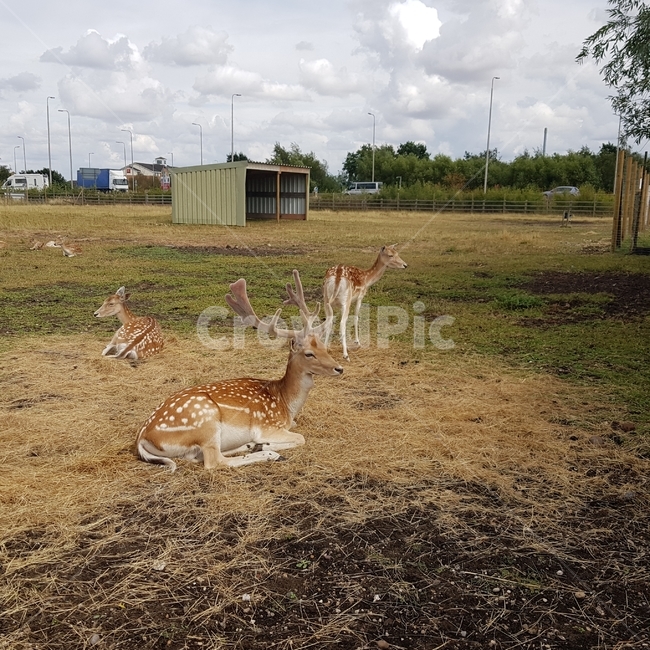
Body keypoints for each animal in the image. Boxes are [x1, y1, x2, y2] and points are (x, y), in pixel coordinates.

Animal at [136, 270, 343, 471]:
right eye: (309, 354)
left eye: (324, 347)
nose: (339, 368)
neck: (286, 405)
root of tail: (142, 438)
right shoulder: (267, 426)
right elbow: (300, 437)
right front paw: (265, 445)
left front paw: (259, 445)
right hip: (206, 421)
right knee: (213, 461)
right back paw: (269, 454)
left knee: (200, 457)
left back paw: (253, 446)